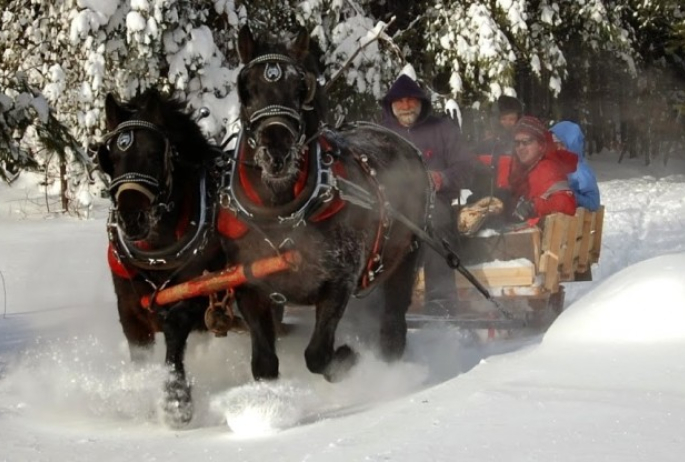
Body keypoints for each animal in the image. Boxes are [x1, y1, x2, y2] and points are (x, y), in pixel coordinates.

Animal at [95, 89, 224, 426]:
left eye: (154, 155)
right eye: (111, 159)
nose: (131, 219)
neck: (155, 255)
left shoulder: (199, 293)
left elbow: (176, 329)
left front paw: (176, 400)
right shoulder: (130, 313)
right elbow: (139, 355)